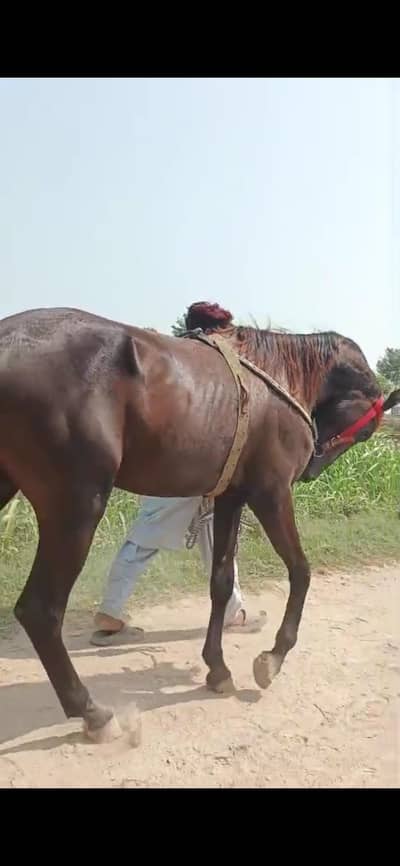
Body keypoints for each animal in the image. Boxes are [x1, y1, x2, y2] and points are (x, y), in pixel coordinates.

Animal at [0, 306, 398, 743]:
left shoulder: (230, 496)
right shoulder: (271, 492)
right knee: (41, 610)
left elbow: (222, 581)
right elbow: (301, 570)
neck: (275, 371)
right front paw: (273, 657)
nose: (311, 469)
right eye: (366, 432)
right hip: (75, 506)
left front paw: (217, 668)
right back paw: (92, 712)